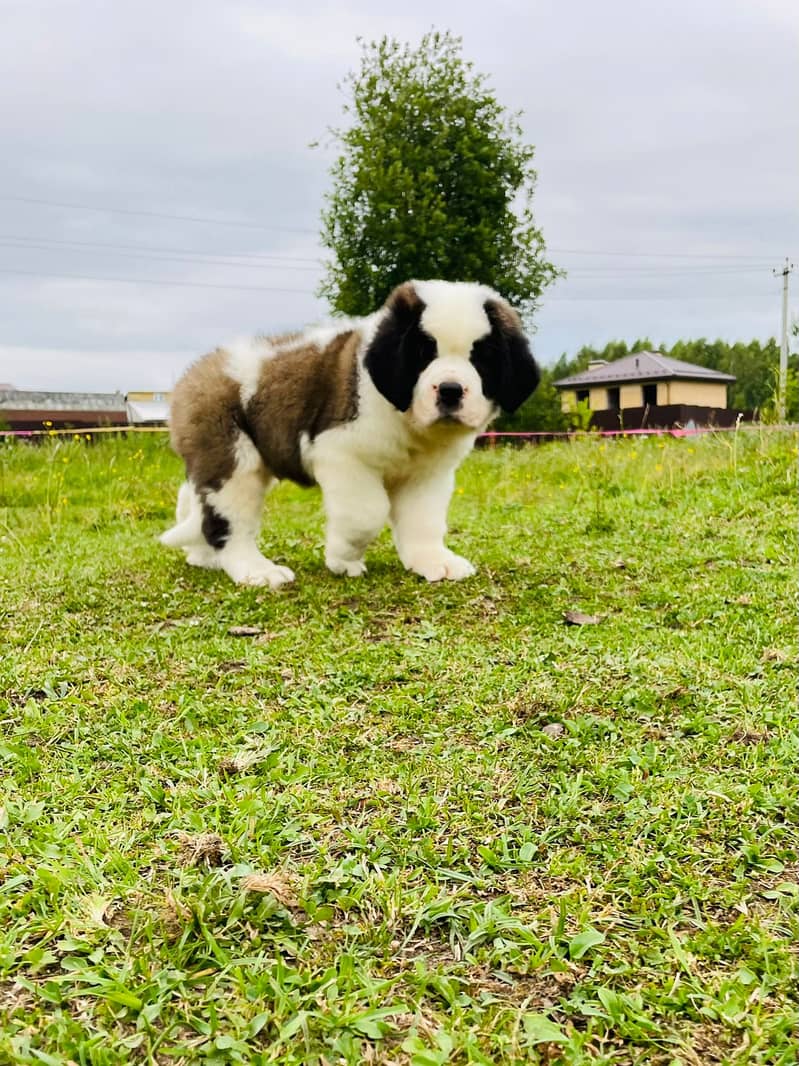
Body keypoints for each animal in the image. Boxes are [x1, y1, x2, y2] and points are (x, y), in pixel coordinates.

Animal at [160, 279, 541, 588]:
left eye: (481, 359)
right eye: (423, 353)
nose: (450, 390)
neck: (405, 420)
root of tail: (194, 373)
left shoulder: (428, 474)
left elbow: (424, 520)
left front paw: (433, 561)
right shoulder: (341, 454)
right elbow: (367, 512)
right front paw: (343, 559)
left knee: (195, 503)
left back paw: (203, 555)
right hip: (232, 457)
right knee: (228, 520)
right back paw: (256, 570)